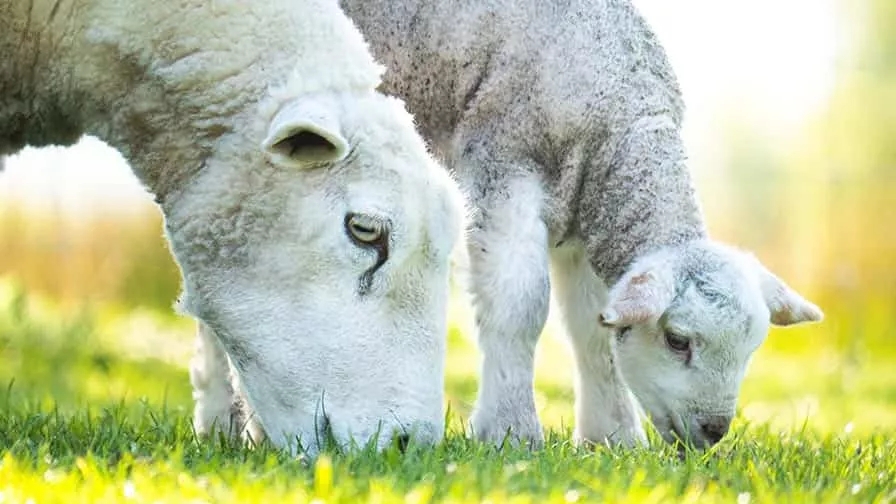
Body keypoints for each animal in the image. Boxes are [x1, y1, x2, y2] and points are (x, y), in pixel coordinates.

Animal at [334, 0, 824, 450]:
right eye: (677, 340)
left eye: (752, 347)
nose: (714, 431)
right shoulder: (504, 169)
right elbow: (519, 306)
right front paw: (511, 432)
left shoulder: (584, 216)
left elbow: (594, 329)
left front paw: (613, 438)